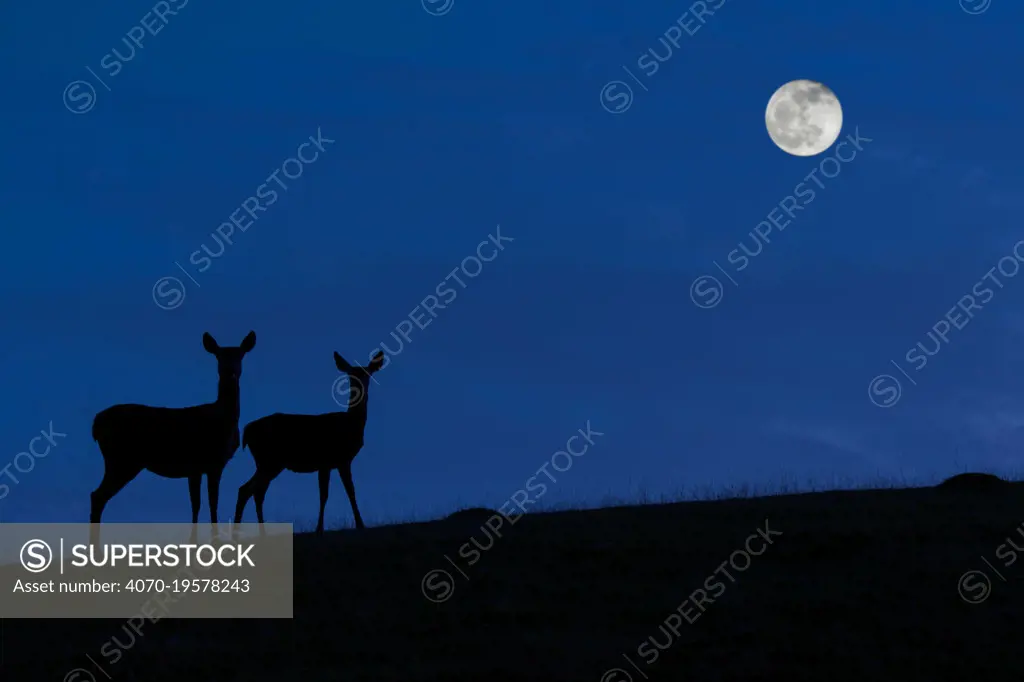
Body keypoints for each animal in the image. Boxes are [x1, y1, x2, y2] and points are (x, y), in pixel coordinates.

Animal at [90, 331, 258, 522]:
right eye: (218, 356)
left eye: (240, 355)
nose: (229, 371)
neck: (224, 420)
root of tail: (96, 423)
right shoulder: (213, 461)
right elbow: (212, 504)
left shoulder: (196, 467)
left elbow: (197, 504)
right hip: (122, 459)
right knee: (98, 496)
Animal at [234, 350, 385, 532]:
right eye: (350, 375)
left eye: (367, 373)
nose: (358, 386)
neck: (350, 425)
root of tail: (247, 430)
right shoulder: (336, 460)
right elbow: (339, 493)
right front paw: (354, 525)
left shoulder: (331, 463)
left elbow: (335, 493)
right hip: (269, 461)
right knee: (249, 490)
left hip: (267, 463)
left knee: (253, 491)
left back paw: (257, 531)